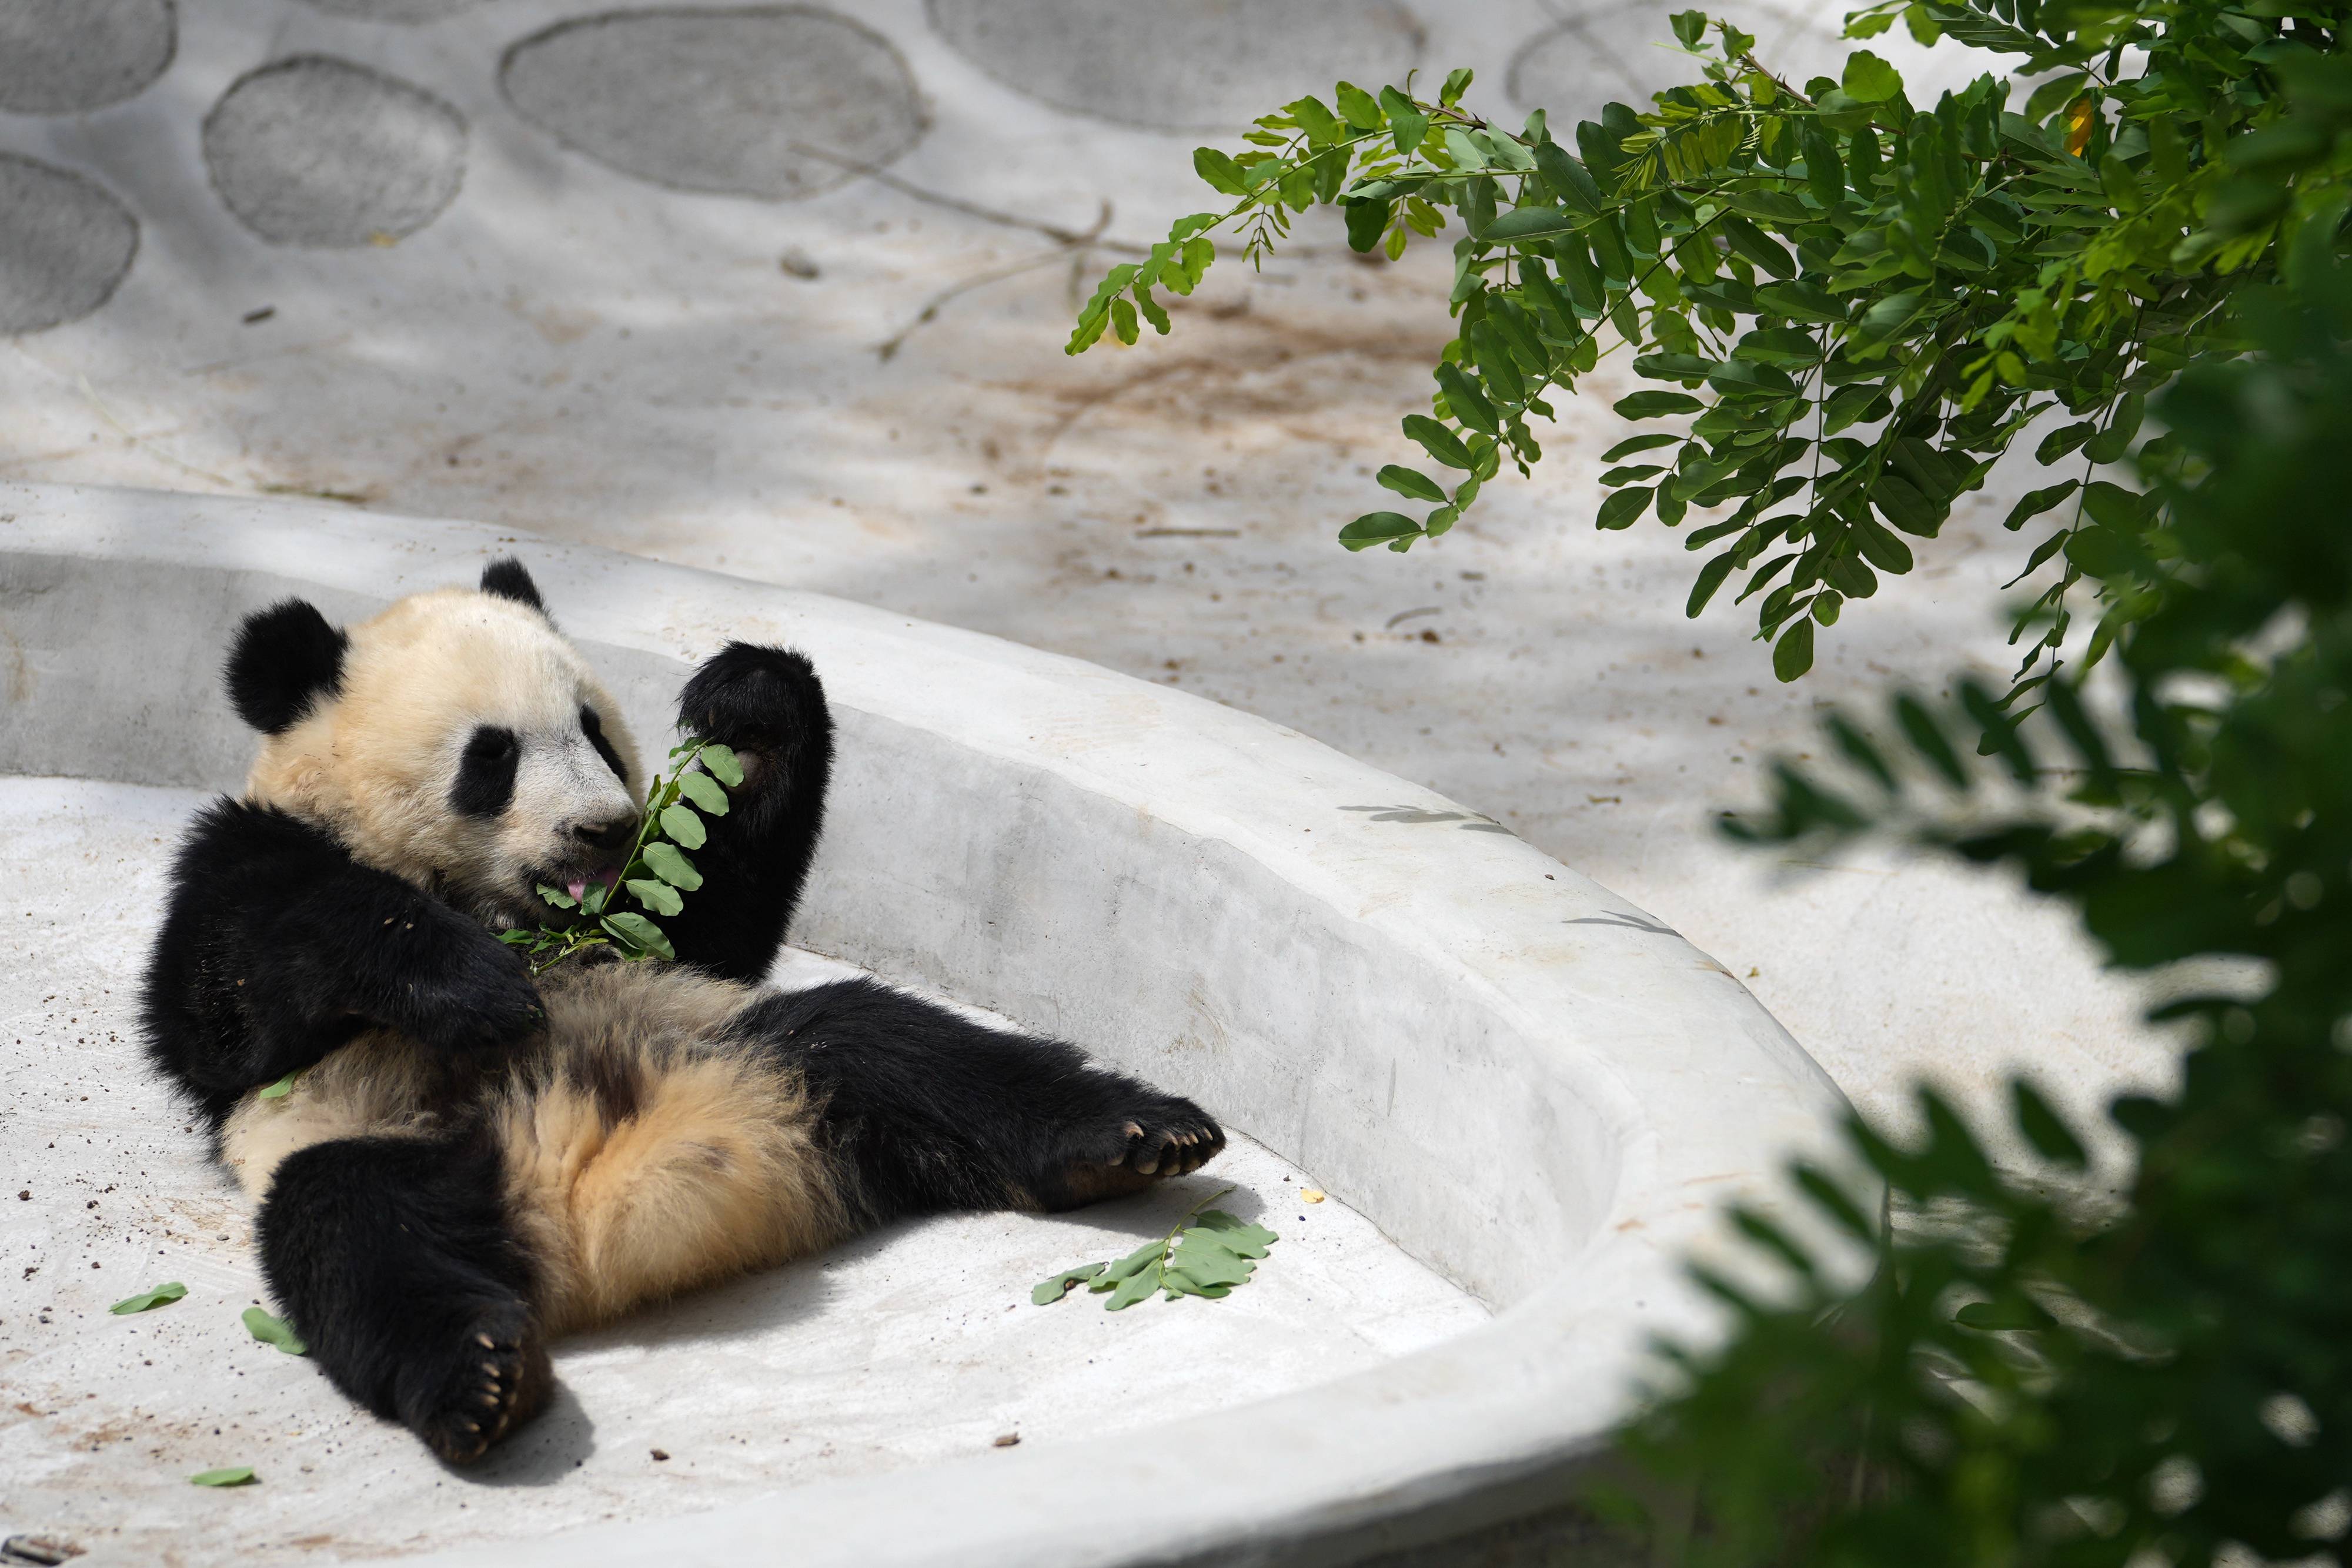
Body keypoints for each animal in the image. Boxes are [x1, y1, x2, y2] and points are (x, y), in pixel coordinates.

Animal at [142, 566, 1232, 1476]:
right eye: (491, 755)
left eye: (592, 727)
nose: (604, 827)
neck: (497, 903)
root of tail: (603, 1213)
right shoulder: (249, 867)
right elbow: (222, 1003)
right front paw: (476, 986)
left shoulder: (651, 935)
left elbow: (719, 916)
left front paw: (748, 699)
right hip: (391, 1141)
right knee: (350, 1229)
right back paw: (481, 1382)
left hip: (749, 1048)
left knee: (890, 1041)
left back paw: (1127, 1135)